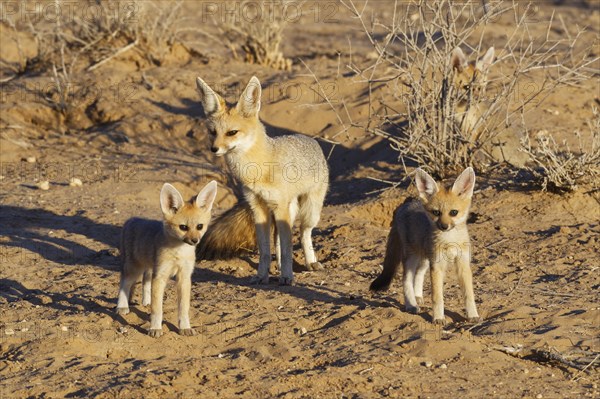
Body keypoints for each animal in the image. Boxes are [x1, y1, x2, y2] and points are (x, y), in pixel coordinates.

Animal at [196, 76, 328, 286]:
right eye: (212, 132)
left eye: (232, 132)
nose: (214, 149)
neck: (256, 170)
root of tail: (310, 139)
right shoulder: (257, 207)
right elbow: (266, 250)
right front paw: (262, 275)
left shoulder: (279, 206)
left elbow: (287, 248)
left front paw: (288, 277)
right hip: (285, 211)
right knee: (278, 240)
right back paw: (281, 268)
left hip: (309, 211)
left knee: (303, 234)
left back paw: (310, 263)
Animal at [372, 167, 480, 326]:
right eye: (436, 212)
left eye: (453, 212)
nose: (444, 226)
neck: (450, 241)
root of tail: (406, 204)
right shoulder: (437, 266)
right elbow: (437, 297)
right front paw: (438, 318)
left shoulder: (463, 264)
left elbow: (469, 295)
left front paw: (473, 315)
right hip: (412, 257)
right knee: (406, 279)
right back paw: (411, 304)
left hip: (424, 259)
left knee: (418, 274)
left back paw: (417, 297)